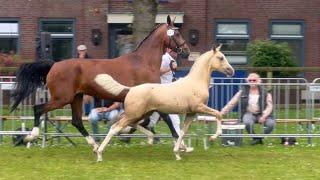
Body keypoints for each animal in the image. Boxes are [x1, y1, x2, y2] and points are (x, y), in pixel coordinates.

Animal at [10, 15, 190, 151]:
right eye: (176, 34)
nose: (186, 51)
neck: (144, 62)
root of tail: (54, 65)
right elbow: (164, 118)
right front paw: (181, 145)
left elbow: (144, 119)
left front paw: (129, 132)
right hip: (62, 98)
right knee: (38, 108)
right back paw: (30, 136)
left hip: (76, 98)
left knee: (76, 121)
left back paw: (95, 145)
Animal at [94, 45, 234, 162]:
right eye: (221, 57)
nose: (231, 71)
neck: (196, 82)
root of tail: (131, 89)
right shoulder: (199, 107)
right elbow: (218, 114)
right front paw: (213, 138)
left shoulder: (191, 113)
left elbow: (182, 131)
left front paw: (178, 153)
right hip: (133, 114)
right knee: (115, 127)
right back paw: (99, 154)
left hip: (142, 114)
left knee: (133, 125)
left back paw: (149, 138)